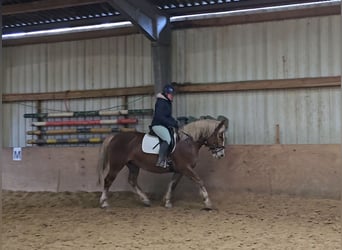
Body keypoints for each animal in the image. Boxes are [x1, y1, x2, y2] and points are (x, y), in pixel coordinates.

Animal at [97, 118, 228, 210]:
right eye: (220, 136)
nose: (221, 155)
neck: (188, 143)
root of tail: (115, 137)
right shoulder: (185, 168)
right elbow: (199, 180)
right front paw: (208, 203)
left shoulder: (179, 170)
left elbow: (172, 184)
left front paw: (167, 201)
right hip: (117, 164)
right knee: (108, 180)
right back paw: (104, 203)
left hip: (133, 165)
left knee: (132, 181)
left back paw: (146, 200)